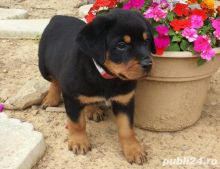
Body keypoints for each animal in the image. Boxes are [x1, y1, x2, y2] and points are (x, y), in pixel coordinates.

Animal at [39, 9, 156, 165]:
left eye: (146, 41)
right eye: (121, 45)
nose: (148, 64)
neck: (106, 77)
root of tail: (58, 17)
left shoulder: (125, 100)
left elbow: (127, 129)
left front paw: (133, 149)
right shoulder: (71, 96)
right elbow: (77, 123)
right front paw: (79, 142)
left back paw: (92, 109)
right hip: (44, 67)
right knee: (55, 80)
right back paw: (51, 98)